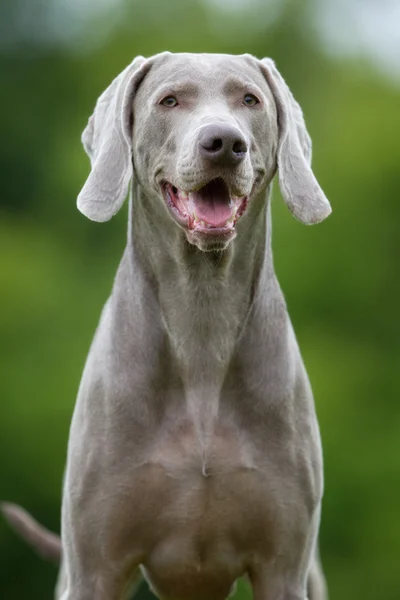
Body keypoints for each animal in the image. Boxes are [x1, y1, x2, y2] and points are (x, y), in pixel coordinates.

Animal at [2, 52, 332, 600]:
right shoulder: (94, 567)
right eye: (169, 100)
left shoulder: (283, 567)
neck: (201, 320)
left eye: (250, 99)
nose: (225, 143)